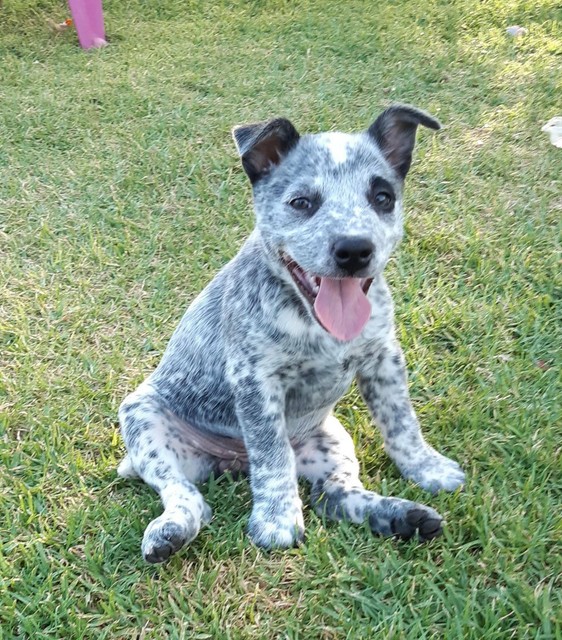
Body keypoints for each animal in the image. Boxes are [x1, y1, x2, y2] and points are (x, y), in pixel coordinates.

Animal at [118, 105, 464, 564]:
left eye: (382, 198)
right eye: (301, 203)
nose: (354, 250)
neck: (317, 324)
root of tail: (232, 463)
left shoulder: (384, 359)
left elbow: (402, 423)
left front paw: (428, 468)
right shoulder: (256, 382)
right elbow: (272, 455)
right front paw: (277, 519)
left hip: (331, 438)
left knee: (334, 496)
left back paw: (402, 516)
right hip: (144, 422)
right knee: (187, 495)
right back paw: (171, 531)